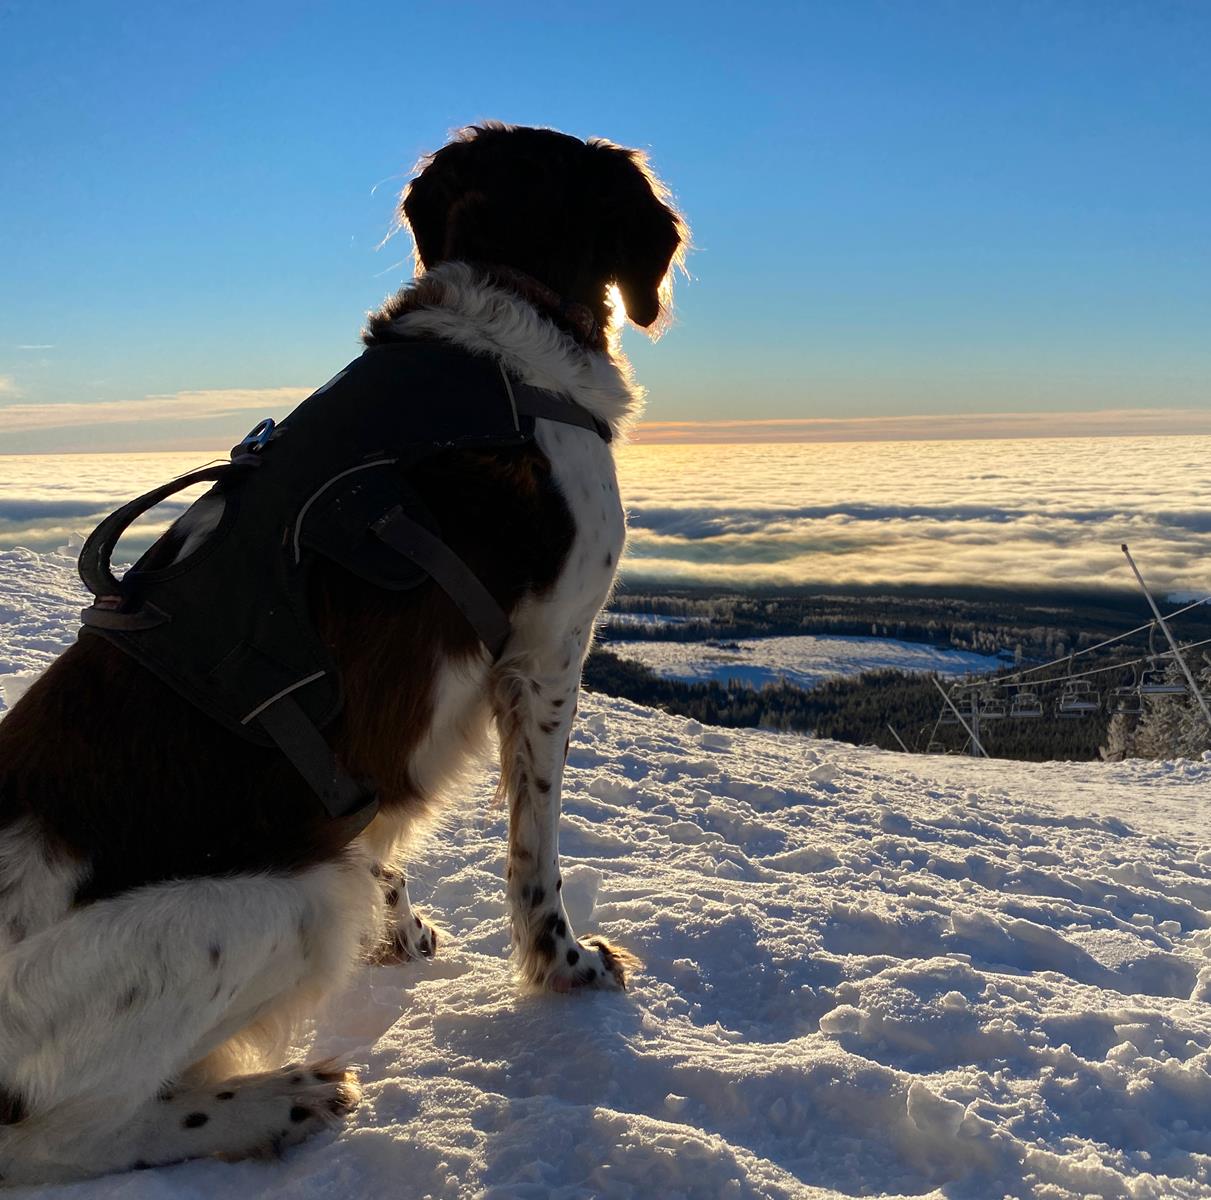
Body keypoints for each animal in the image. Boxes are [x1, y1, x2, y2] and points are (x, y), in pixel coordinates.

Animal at [0, 124, 687, 1181]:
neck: (501, 319)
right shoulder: (546, 655)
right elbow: (535, 850)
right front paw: (565, 967)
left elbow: (384, 832)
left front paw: (401, 931)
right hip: (287, 904)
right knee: (56, 1136)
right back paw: (270, 1105)